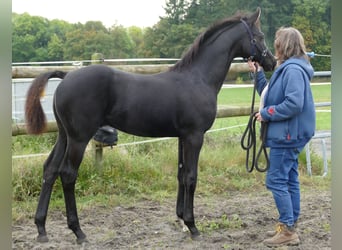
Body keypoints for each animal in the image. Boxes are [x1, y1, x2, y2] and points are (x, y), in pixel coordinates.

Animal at [24, 8, 276, 244]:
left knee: (50, 170)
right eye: (260, 36)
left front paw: (181, 218)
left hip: (64, 136)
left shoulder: (182, 137)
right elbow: (191, 176)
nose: (271, 61)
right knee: (67, 175)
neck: (198, 78)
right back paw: (78, 232)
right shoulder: (194, 136)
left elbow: (181, 174)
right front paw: (192, 226)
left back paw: (41, 229)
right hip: (79, 138)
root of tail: (66, 76)